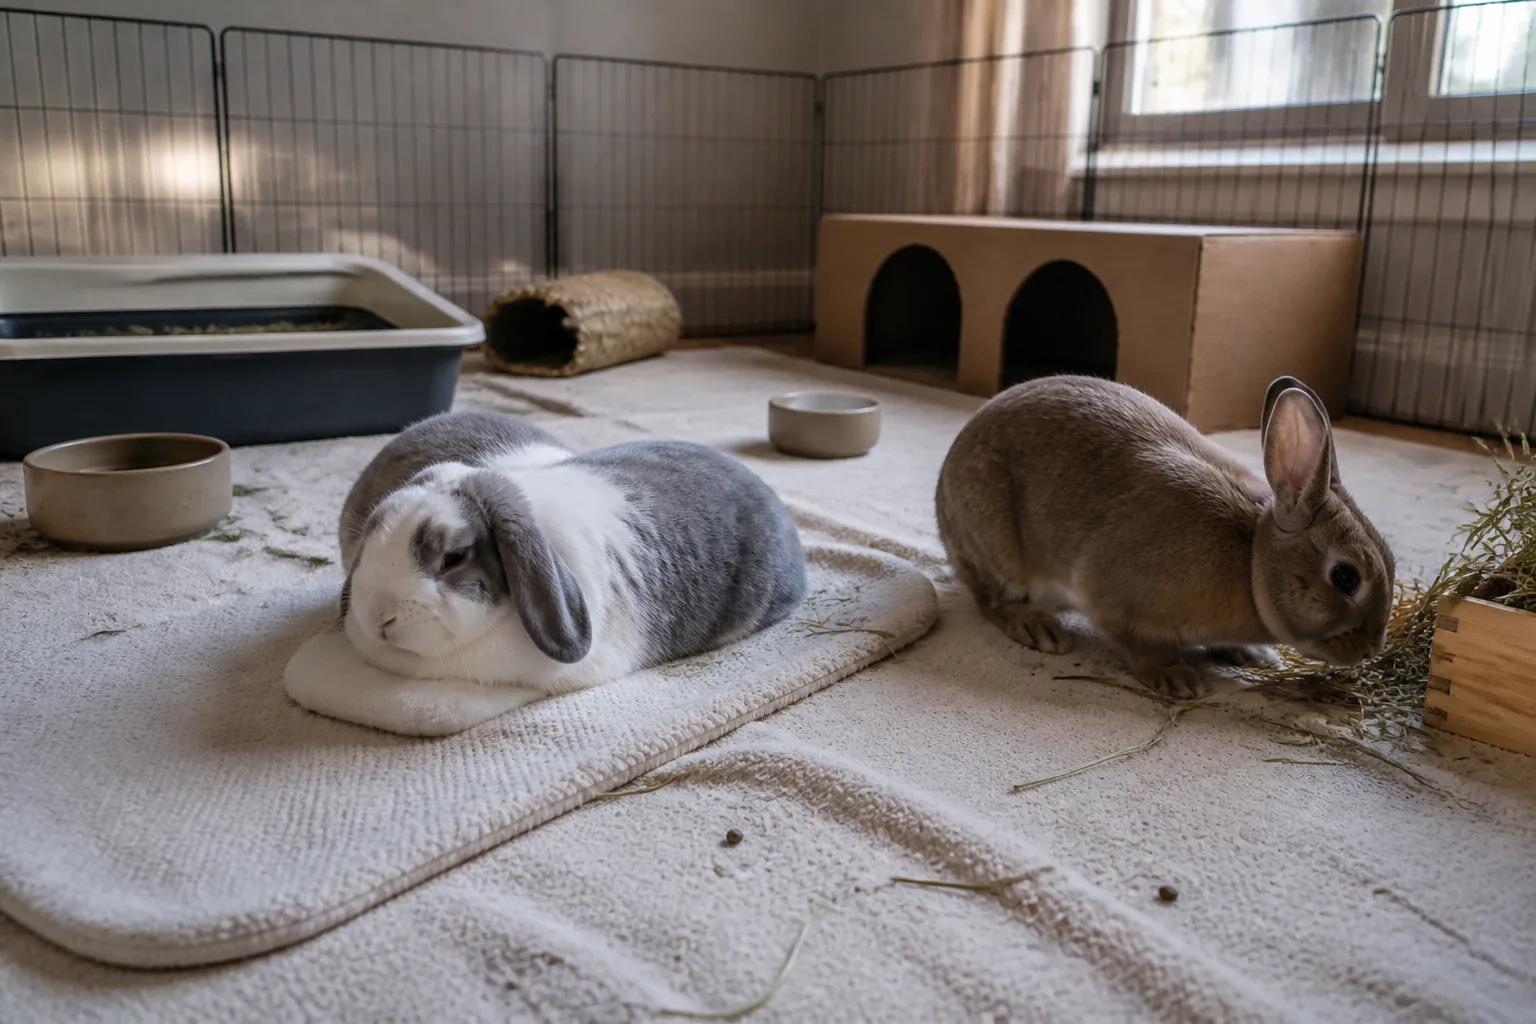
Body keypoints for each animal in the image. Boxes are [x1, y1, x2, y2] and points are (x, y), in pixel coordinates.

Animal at [935, 374, 1395, 699]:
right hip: (998, 546)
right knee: (992, 599)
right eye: (1346, 577)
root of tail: (942, 503)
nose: (1372, 649)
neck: (1251, 561)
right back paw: (1038, 628)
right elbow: (1139, 643)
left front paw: (1251, 654)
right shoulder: (1114, 597)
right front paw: (1176, 678)